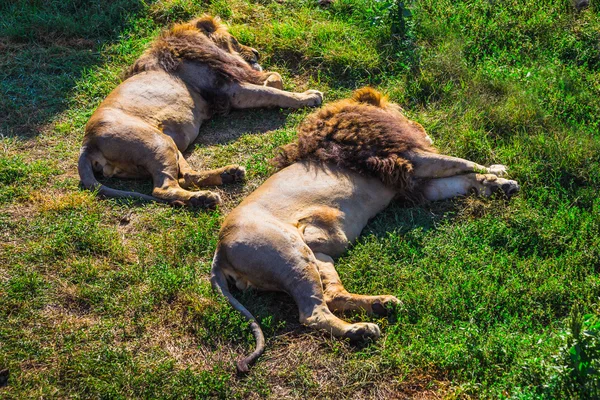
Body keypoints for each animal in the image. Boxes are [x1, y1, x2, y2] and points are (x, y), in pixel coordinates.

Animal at [79, 15, 326, 206]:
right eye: (234, 40)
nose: (256, 52)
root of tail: (87, 144)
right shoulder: (229, 90)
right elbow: (274, 92)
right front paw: (308, 97)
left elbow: (274, 81)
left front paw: (274, 81)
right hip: (155, 142)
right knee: (163, 188)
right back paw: (203, 198)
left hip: (168, 141)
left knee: (186, 176)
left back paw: (229, 174)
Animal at [211, 86, 520, 372]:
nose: (419, 126)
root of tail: (219, 251)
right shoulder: (409, 158)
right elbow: (461, 161)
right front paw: (499, 171)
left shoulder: (410, 181)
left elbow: (461, 179)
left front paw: (495, 184)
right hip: (290, 253)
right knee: (312, 313)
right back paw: (361, 330)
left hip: (318, 255)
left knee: (332, 295)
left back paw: (382, 305)